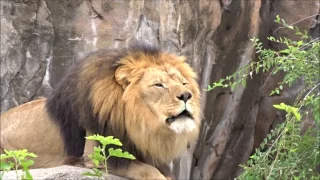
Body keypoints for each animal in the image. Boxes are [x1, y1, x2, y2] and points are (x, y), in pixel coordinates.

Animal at [0, 44, 200, 179]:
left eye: (184, 83)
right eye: (159, 85)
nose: (186, 95)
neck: (139, 124)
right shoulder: (96, 155)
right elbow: (146, 170)